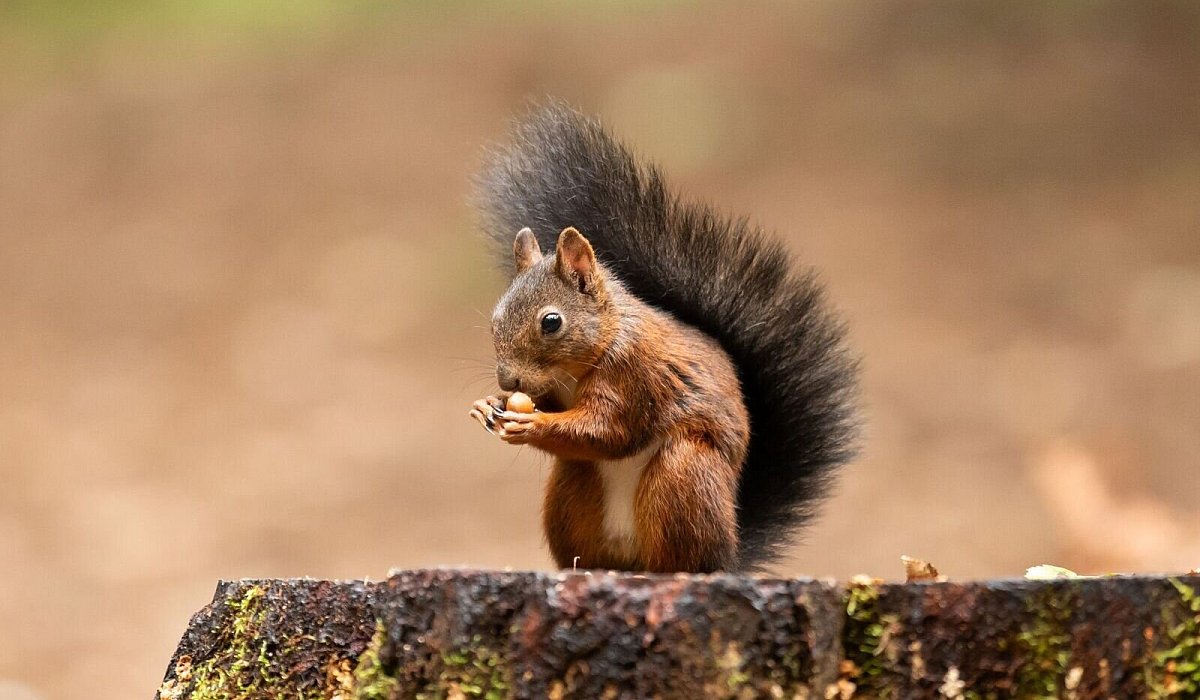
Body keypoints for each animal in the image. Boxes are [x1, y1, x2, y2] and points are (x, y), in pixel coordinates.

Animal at [468, 102, 859, 573]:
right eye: (496, 315)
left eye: (551, 322)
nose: (508, 381)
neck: (588, 357)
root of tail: (728, 554)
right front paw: (489, 405)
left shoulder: (635, 374)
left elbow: (608, 431)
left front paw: (531, 422)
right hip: (573, 487)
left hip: (682, 475)